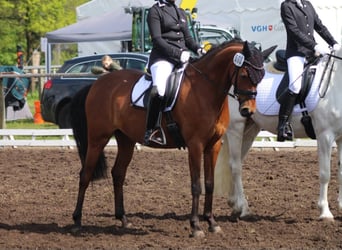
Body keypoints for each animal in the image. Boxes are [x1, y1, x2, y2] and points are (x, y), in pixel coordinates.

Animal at [70, 38, 276, 236]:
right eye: (244, 75)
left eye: (261, 77)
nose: (248, 111)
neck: (205, 90)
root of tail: (97, 83)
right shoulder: (195, 145)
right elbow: (196, 185)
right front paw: (196, 227)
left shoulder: (213, 145)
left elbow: (209, 184)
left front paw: (212, 223)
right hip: (98, 138)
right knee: (85, 174)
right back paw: (77, 221)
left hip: (126, 140)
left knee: (118, 174)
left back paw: (123, 219)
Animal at [215, 48, 342, 221]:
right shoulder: (325, 136)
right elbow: (325, 173)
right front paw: (325, 212)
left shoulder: (341, 138)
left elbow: (341, 172)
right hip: (236, 128)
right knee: (235, 166)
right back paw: (244, 208)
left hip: (250, 129)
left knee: (237, 162)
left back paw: (235, 205)